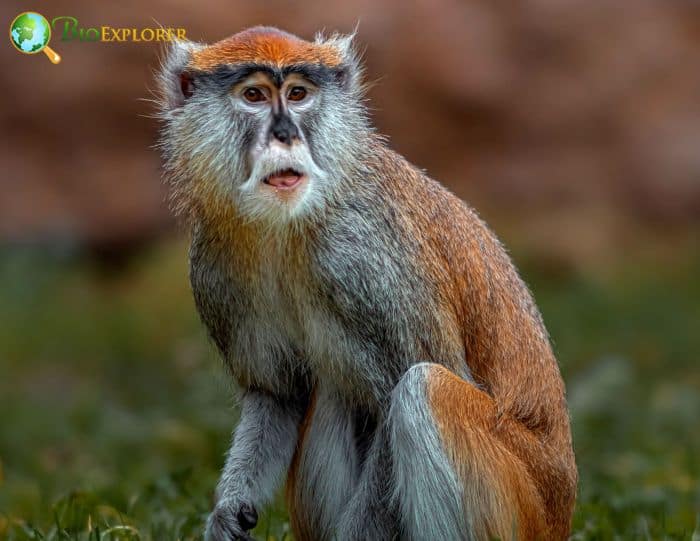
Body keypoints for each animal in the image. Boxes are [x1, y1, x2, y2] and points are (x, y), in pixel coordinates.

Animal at [156, 26, 576, 540]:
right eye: (254, 95)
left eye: (298, 94)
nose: (285, 134)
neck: (293, 222)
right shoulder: (214, 264)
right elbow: (278, 395)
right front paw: (226, 515)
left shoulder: (363, 255)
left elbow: (403, 389)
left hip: (524, 502)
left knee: (422, 389)